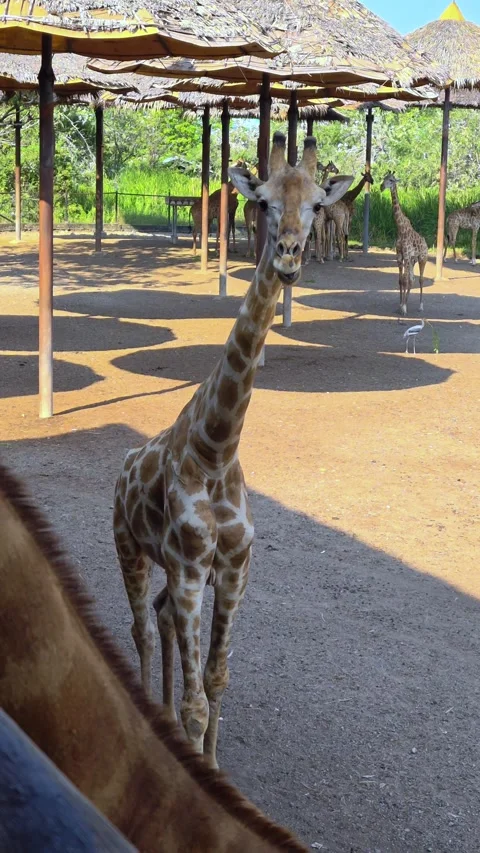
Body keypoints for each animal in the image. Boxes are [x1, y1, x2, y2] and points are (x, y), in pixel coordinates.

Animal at [0, 462, 307, 853]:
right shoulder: (189, 570)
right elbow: (195, 699)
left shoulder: (231, 572)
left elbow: (215, 675)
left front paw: (209, 760)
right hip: (131, 550)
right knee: (144, 628)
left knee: (162, 616)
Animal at [380, 171, 428, 315]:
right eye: (383, 178)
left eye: (391, 180)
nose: (381, 187)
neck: (400, 229)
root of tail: (426, 244)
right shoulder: (400, 255)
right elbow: (401, 280)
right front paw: (400, 305)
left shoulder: (406, 255)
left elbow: (405, 280)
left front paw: (404, 308)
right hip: (412, 260)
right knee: (412, 279)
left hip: (422, 258)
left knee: (420, 279)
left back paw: (421, 306)